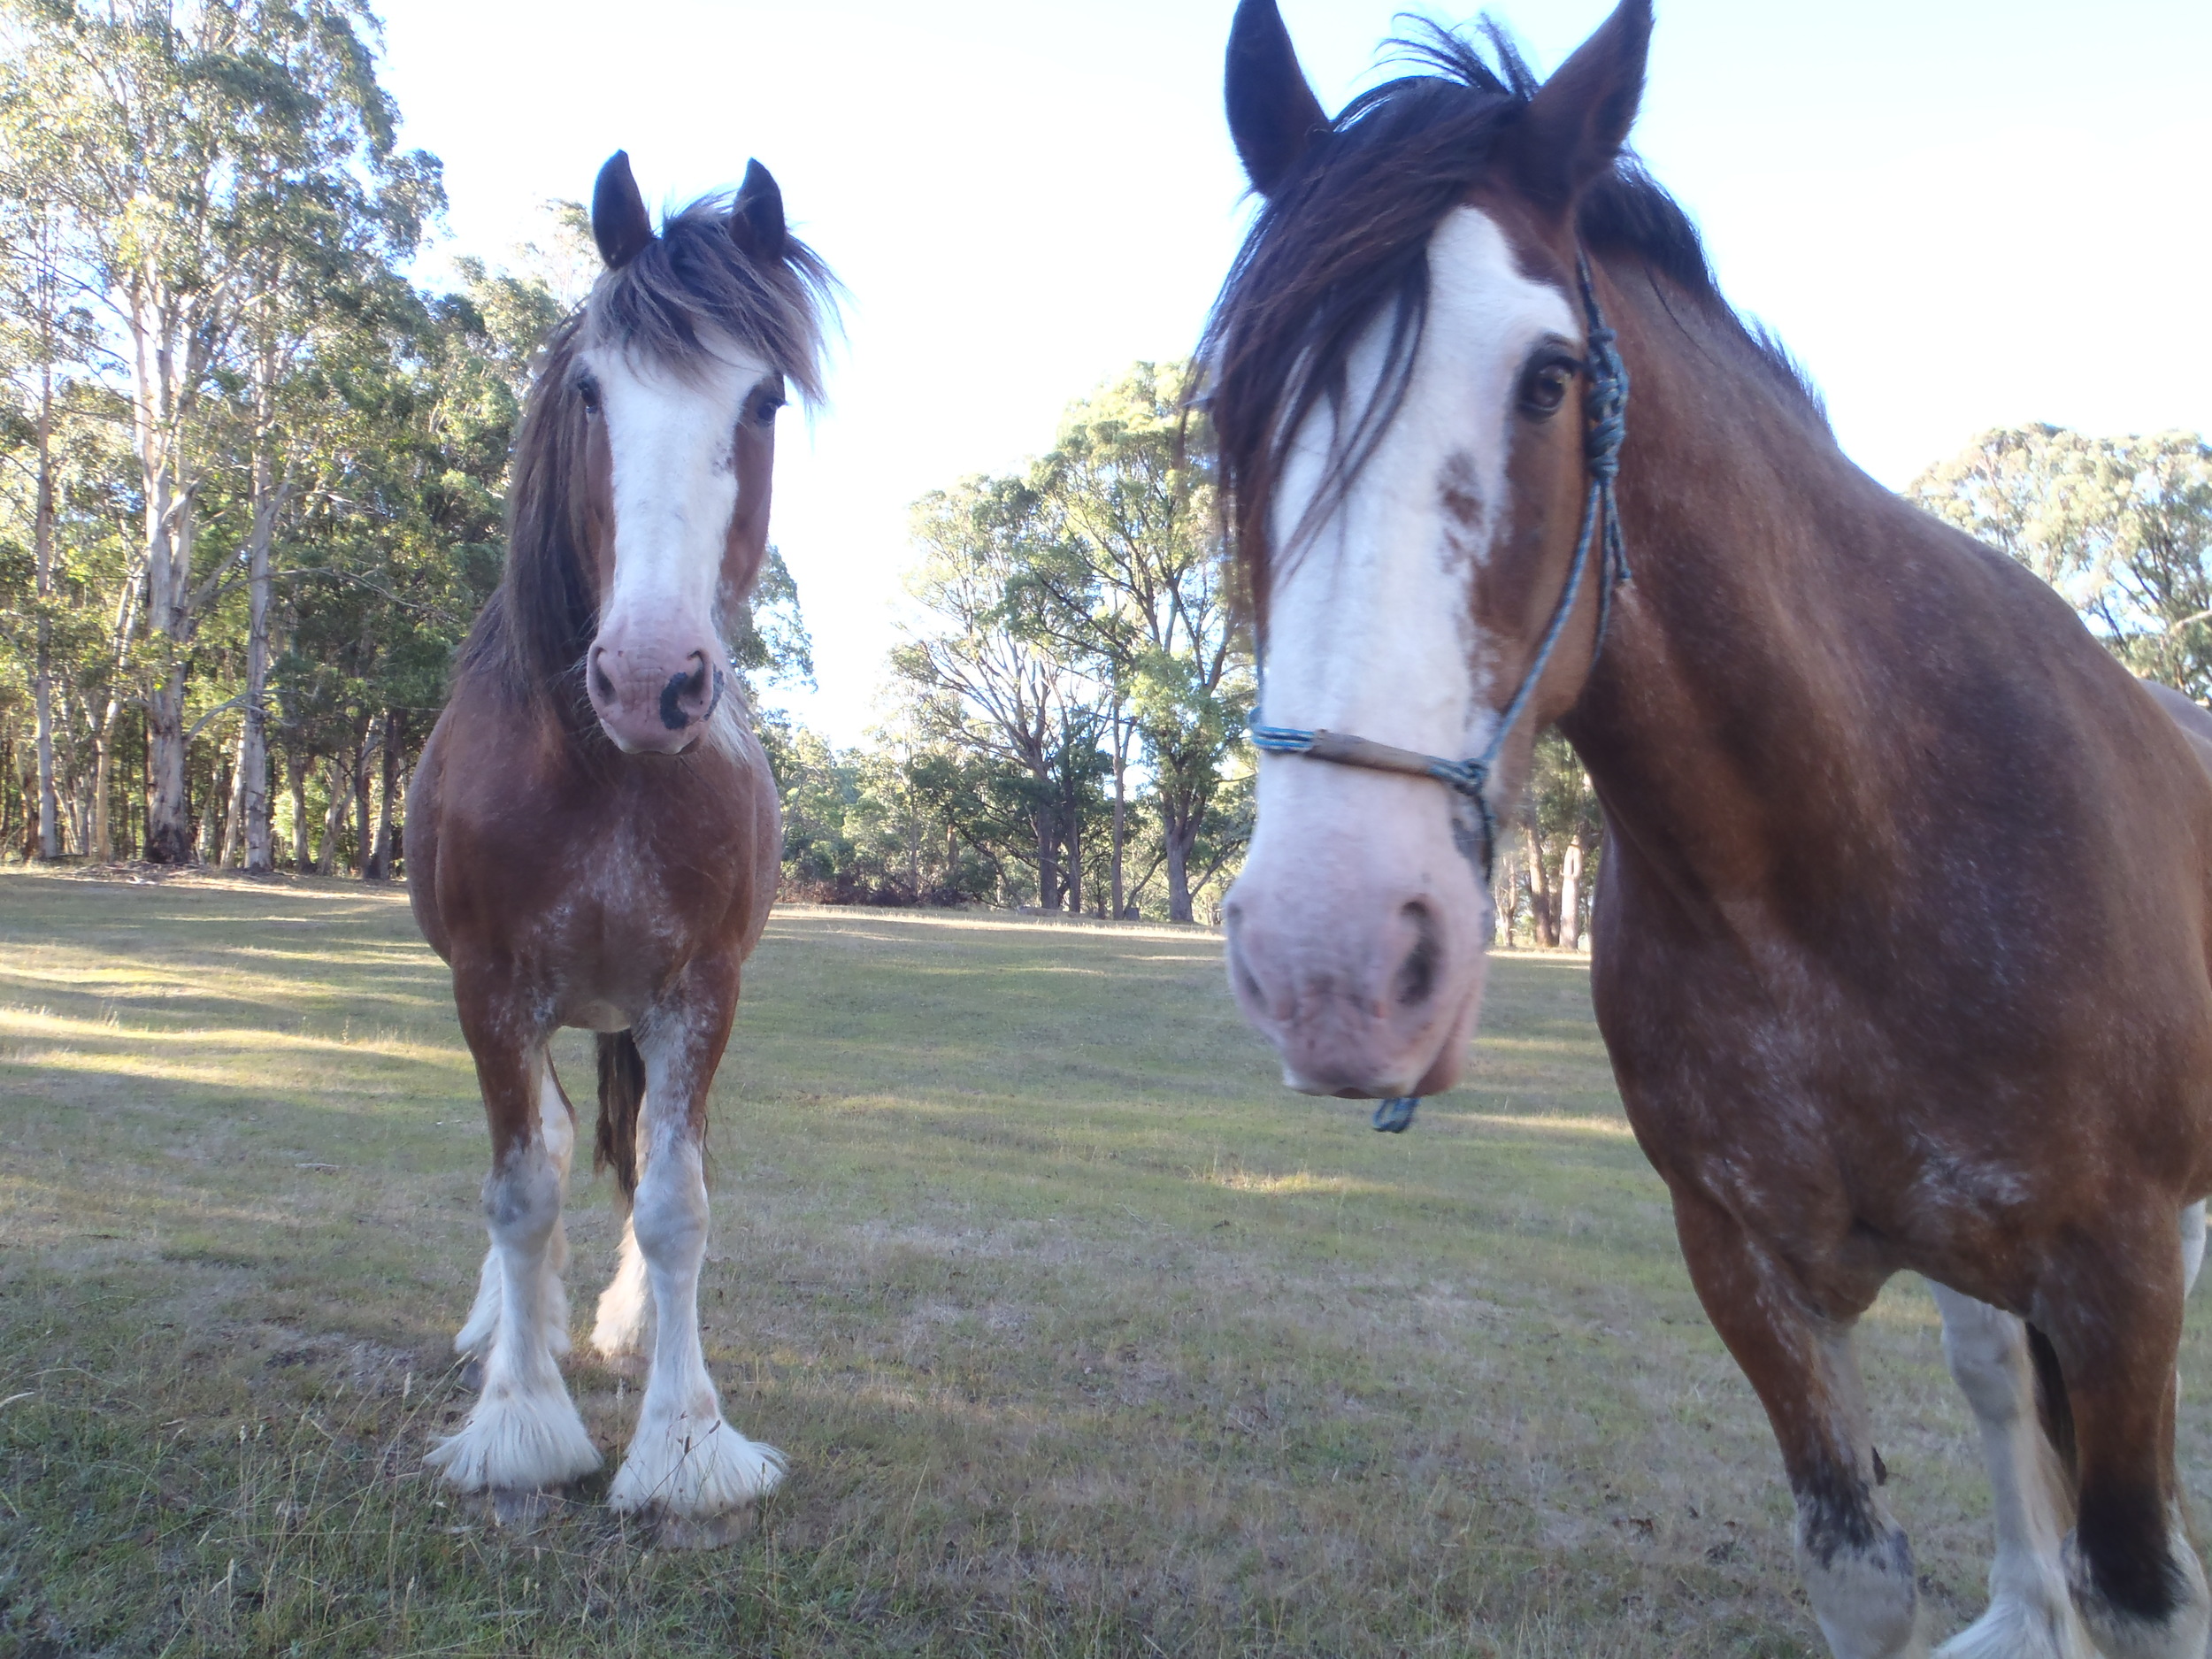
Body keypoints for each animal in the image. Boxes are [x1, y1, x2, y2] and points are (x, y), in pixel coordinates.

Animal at [406, 150, 833, 1540]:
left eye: (760, 397)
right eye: (593, 389)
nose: (653, 679)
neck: (601, 767)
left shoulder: (697, 992)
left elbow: (673, 1200)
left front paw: (685, 1440)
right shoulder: (491, 988)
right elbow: (522, 1186)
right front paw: (522, 1423)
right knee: (537, 1151)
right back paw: (507, 1329)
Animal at [1204, 3, 2212, 1654]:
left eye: (1548, 378)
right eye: (1238, 404)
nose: (1329, 956)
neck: (1843, 853)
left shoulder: (2121, 1275)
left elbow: (2148, 1580)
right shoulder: (1748, 1269)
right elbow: (1869, 1567)